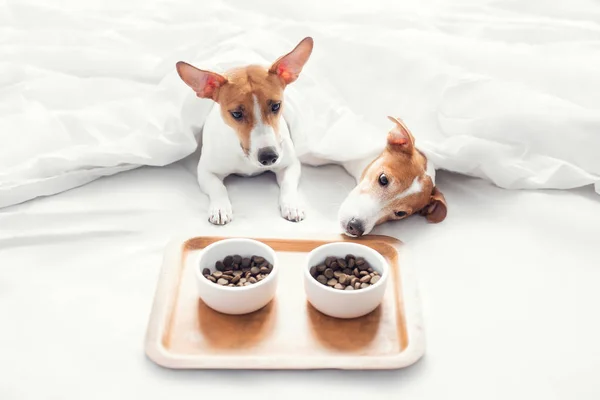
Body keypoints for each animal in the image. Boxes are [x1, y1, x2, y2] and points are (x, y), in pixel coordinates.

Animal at [175, 37, 314, 225]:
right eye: (236, 114)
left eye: (276, 106)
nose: (269, 157)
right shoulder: (205, 171)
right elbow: (218, 188)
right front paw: (220, 208)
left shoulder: (290, 164)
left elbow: (288, 185)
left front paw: (292, 204)